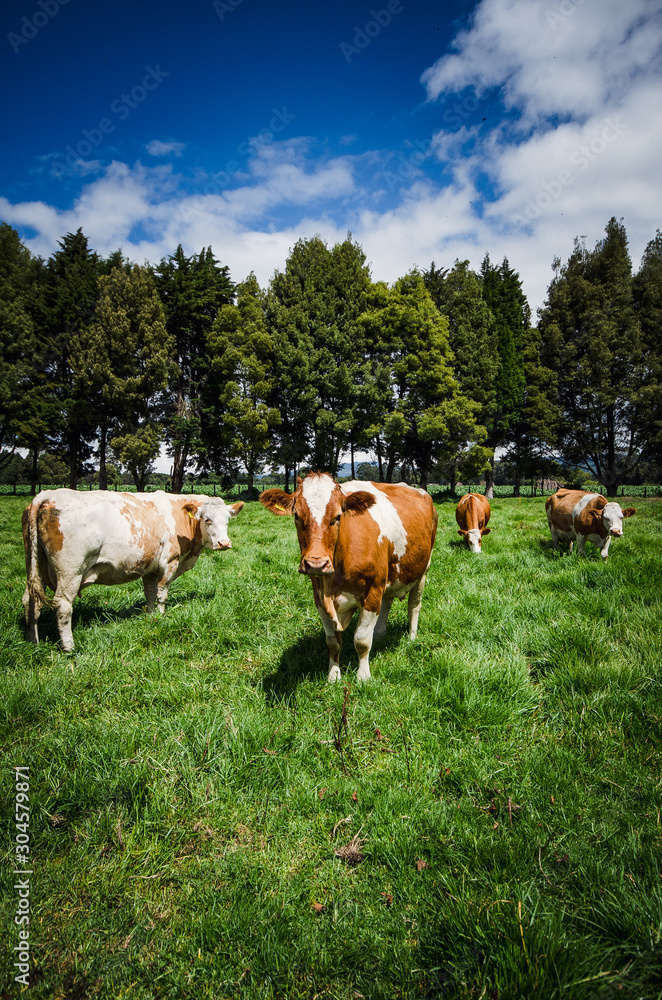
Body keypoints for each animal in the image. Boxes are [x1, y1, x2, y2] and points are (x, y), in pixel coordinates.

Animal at [20, 488, 245, 652]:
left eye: (227, 520)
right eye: (207, 519)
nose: (224, 543)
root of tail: (47, 495)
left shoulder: (150, 568)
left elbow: (150, 594)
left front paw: (152, 618)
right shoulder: (169, 563)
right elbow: (162, 594)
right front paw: (161, 618)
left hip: (35, 566)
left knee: (31, 601)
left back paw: (33, 642)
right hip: (71, 572)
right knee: (63, 606)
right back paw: (69, 647)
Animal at [260, 474, 440, 680]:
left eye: (338, 516)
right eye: (297, 515)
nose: (316, 563)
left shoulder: (372, 592)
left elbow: (362, 640)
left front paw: (363, 676)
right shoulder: (319, 597)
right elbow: (332, 643)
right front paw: (333, 675)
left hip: (423, 569)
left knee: (414, 605)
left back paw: (411, 636)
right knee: (387, 602)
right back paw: (380, 632)